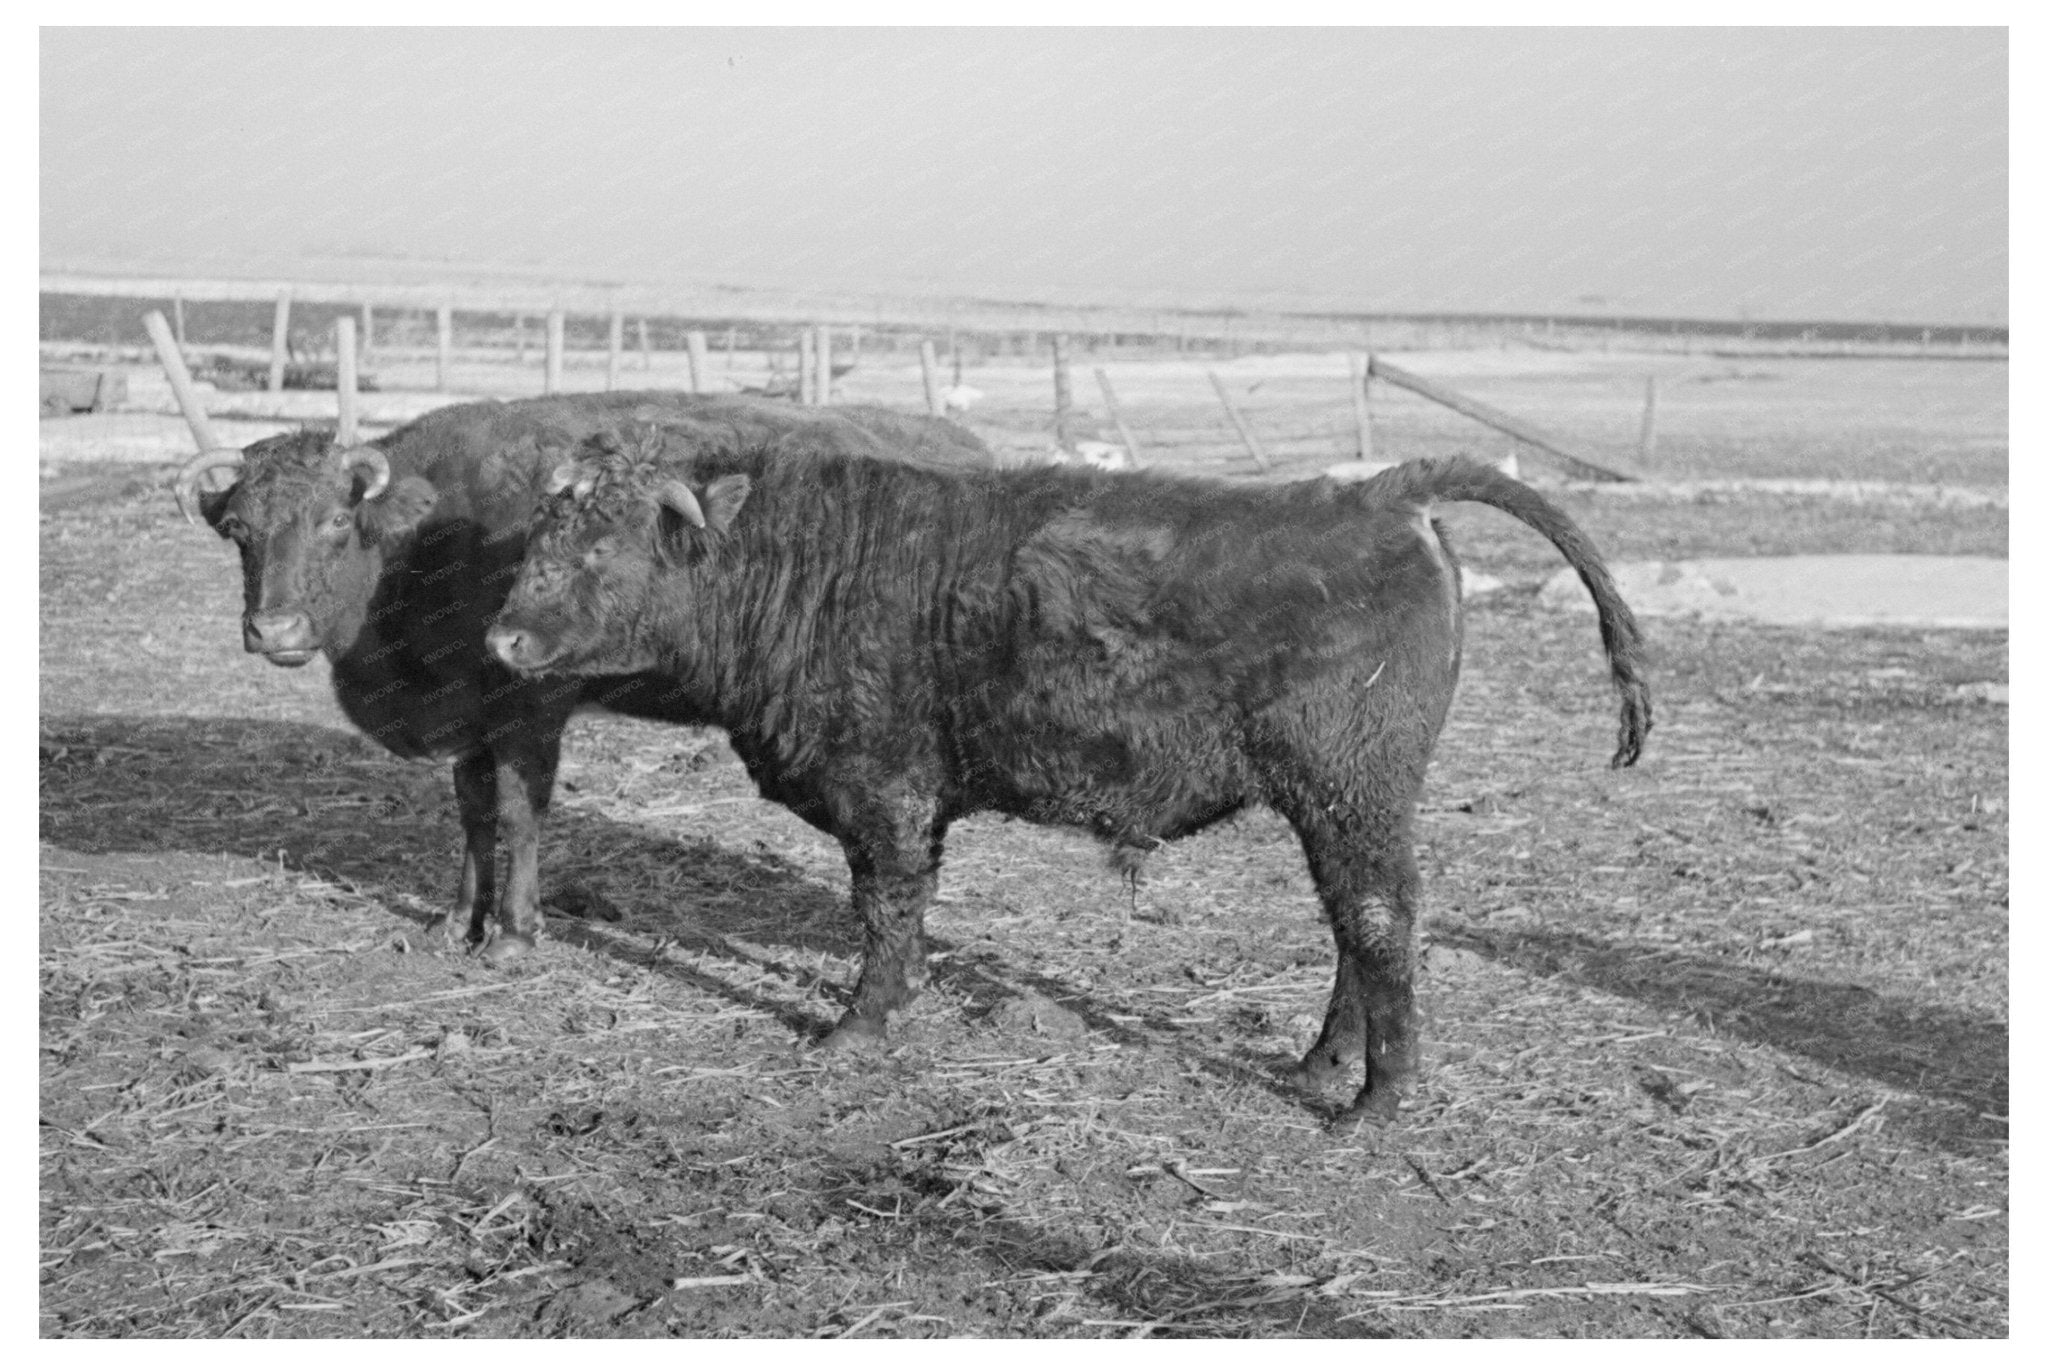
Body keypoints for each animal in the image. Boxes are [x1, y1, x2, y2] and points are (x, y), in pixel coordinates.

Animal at [172, 392, 993, 963]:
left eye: (335, 522)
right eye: (238, 530)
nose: (274, 629)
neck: (428, 534)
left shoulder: (528, 713)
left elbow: (519, 814)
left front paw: (513, 934)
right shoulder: (472, 727)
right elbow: (473, 816)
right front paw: (455, 921)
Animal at [483, 424, 1650, 1126]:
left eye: (603, 546)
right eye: (540, 530)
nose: (501, 638)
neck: (804, 558)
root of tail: (1375, 494)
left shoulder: (886, 790)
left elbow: (886, 907)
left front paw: (857, 1027)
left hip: (1348, 794)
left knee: (1379, 918)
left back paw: (1376, 1100)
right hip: (1341, 805)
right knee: (1356, 927)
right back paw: (1324, 1065)